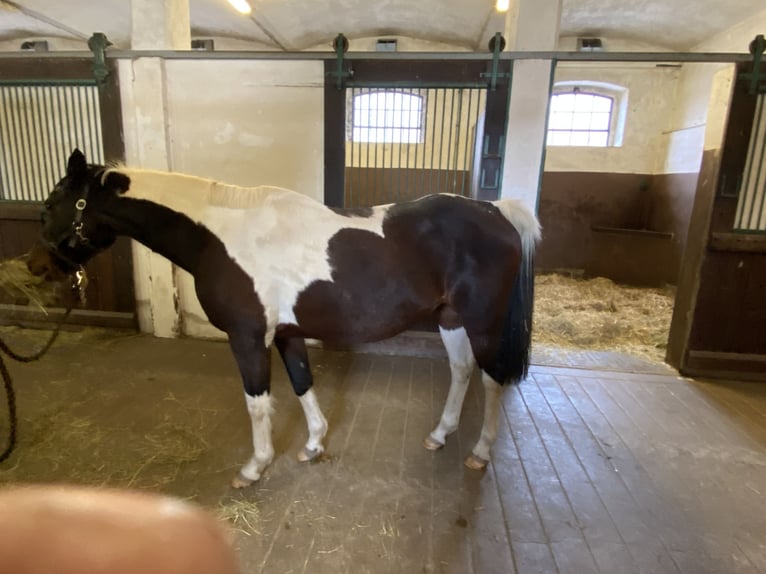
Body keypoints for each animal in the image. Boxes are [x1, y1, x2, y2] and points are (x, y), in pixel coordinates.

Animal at [28, 149, 541, 488]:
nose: (36, 266)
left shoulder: (248, 336)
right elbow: (301, 384)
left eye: (50, 205)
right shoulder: (287, 334)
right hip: (449, 318)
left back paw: (479, 454)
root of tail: (496, 210)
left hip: (482, 322)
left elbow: (258, 401)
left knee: (492, 380)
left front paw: (255, 467)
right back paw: (438, 435)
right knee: (461, 370)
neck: (218, 236)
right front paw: (312, 446)